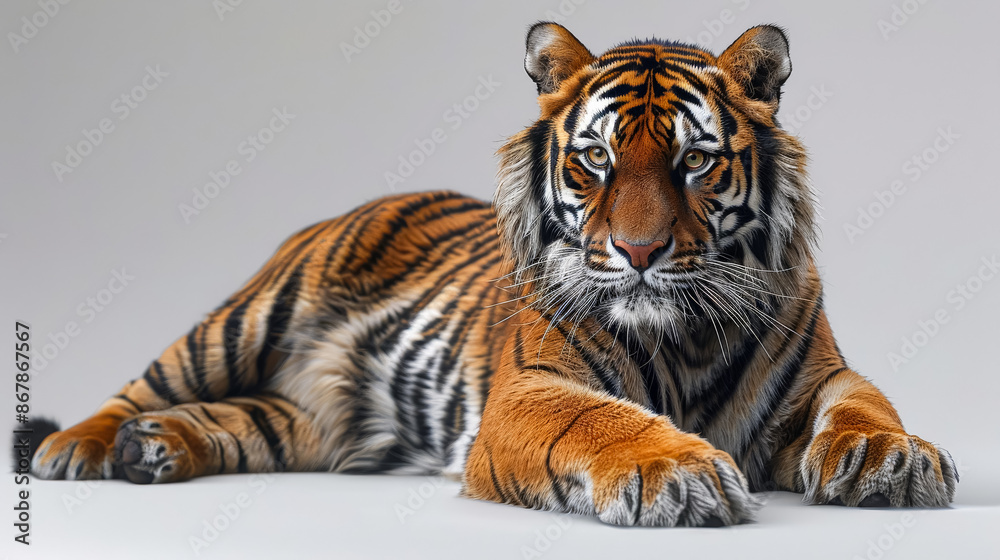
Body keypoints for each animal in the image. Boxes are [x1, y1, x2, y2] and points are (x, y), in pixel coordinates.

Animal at [24, 22, 958, 527]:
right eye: (595, 160)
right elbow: (602, 420)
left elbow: (866, 403)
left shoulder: (822, 377)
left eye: (695, 162)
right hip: (246, 319)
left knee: (249, 421)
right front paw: (678, 472)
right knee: (144, 384)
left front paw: (894, 458)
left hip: (313, 421)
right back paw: (83, 448)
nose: (641, 253)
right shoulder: (528, 390)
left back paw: (155, 449)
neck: (684, 336)